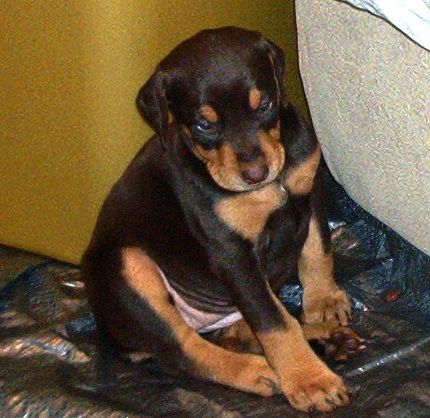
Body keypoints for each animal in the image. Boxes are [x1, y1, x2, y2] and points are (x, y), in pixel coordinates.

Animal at [81, 27, 352, 412]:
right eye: (204, 124)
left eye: (265, 105)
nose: (256, 174)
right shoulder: (231, 251)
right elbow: (273, 321)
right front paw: (310, 381)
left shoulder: (310, 188)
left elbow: (317, 251)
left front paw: (324, 305)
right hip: (126, 265)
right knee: (184, 350)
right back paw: (257, 372)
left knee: (236, 332)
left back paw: (326, 337)